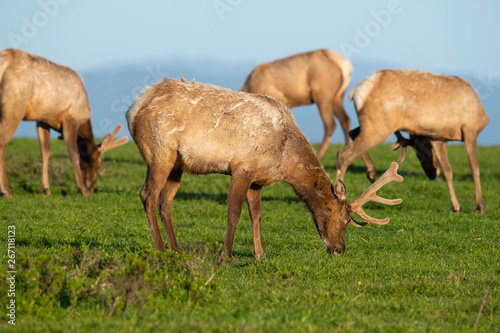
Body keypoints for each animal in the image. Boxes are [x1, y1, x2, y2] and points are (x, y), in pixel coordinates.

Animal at [0, 48, 129, 196]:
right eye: (99, 163)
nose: (94, 188)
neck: (84, 118)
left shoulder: (42, 119)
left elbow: (45, 152)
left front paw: (45, 188)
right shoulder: (70, 118)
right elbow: (73, 153)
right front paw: (82, 189)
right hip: (14, 106)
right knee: (2, 142)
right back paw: (6, 191)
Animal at [127, 76, 404, 258]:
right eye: (344, 220)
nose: (339, 250)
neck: (284, 159)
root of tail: (134, 108)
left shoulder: (257, 179)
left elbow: (256, 215)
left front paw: (260, 255)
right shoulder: (242, 168)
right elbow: (234, 213)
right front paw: (226, 255)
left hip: (177, 164)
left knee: (165, 201)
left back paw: (176, 249)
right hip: (159, 152)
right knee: (148, 194)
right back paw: (160, 249)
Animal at [336, 69, 488, 213]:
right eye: (420, 151)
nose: (432, 174)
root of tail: (357, 92)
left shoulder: (437, 137)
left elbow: (448, 171)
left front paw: (456, 207)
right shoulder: (470, 129)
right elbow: (474, 167)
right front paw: (480, 206)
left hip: (374, 125)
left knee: (352, 133)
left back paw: (371, 173)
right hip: (378, 126)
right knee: (344, 154)